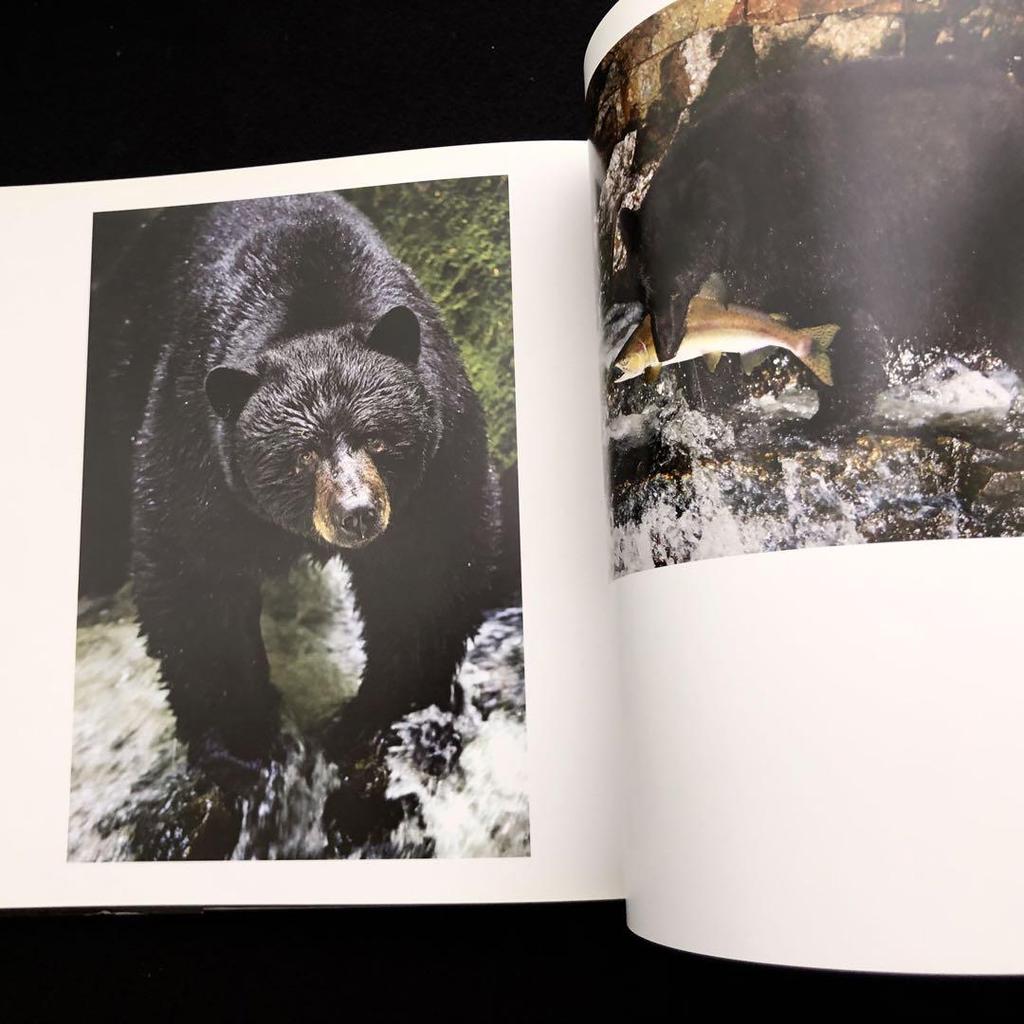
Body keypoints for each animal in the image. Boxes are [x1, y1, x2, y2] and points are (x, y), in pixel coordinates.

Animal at [80, 192, 500, 788]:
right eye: (301, 456)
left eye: (377, 438)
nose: (357, 513)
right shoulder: (198, 450)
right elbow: (192, 577)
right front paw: (242, 745)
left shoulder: (440, 459)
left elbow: (428, 574)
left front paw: (383, 718)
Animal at [619, 58, 1024, 424]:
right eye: (646, 292)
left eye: (680, 284)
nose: (666, 346)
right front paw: (711, 405)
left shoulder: (811, 221)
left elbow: (835, 306)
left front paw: (834, 413)